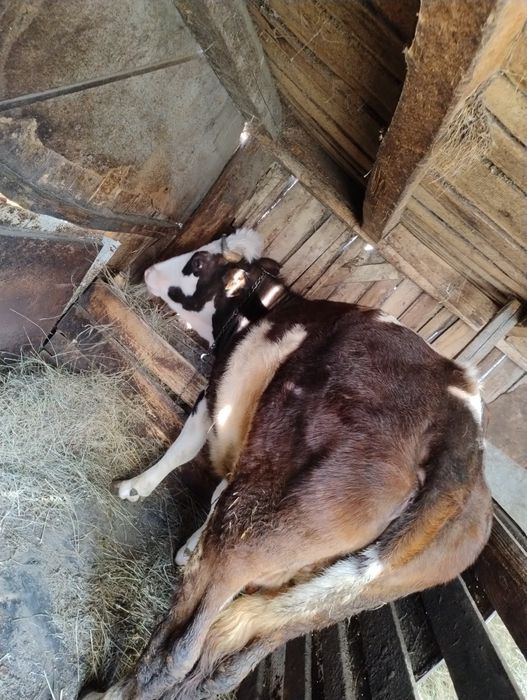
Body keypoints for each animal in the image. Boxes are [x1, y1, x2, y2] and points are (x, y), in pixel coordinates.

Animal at [84, 227, 492, 699]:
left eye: (199, 262)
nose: (149, 270)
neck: (270, 310)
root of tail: (460, 440)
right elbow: (217, 490)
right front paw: (187, 544)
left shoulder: (217, 395)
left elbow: (185, 448)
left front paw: (136, 487)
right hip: (317, 600)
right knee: (227, 660)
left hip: (257, 530)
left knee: (185, 645)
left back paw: (112, 691)